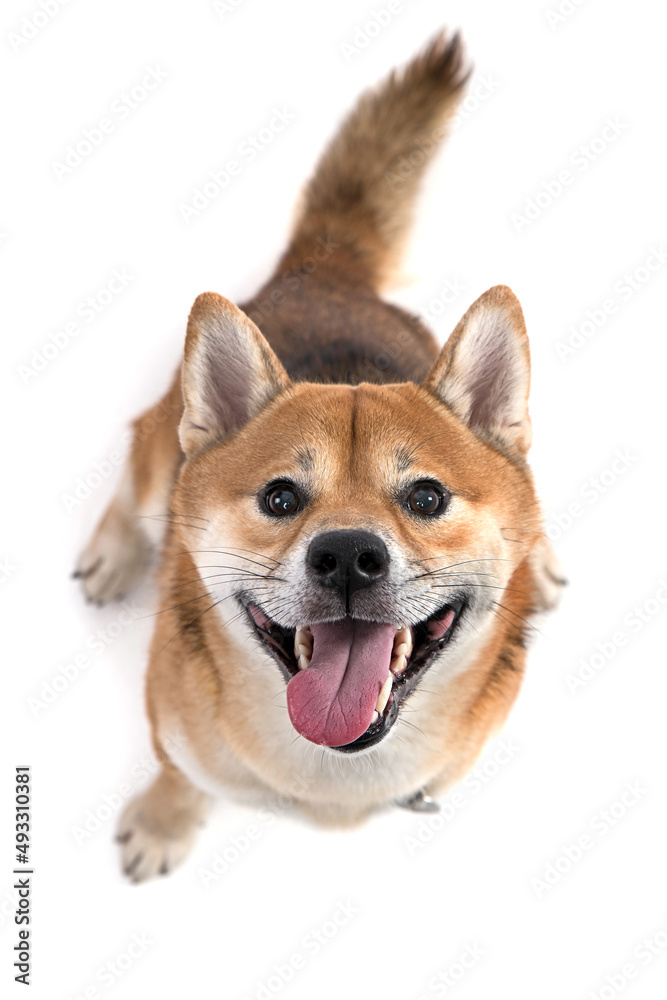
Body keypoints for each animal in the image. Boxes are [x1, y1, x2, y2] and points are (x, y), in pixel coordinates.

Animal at [74, 31, 564, 880]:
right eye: (279, 497)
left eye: (427, 498)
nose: (346, 558)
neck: (334, 766)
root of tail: (326, 267)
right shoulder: (171, 727)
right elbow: (175, 771)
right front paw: (167, 820)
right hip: (160, 445)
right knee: (137, 474)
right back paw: (114, 553)